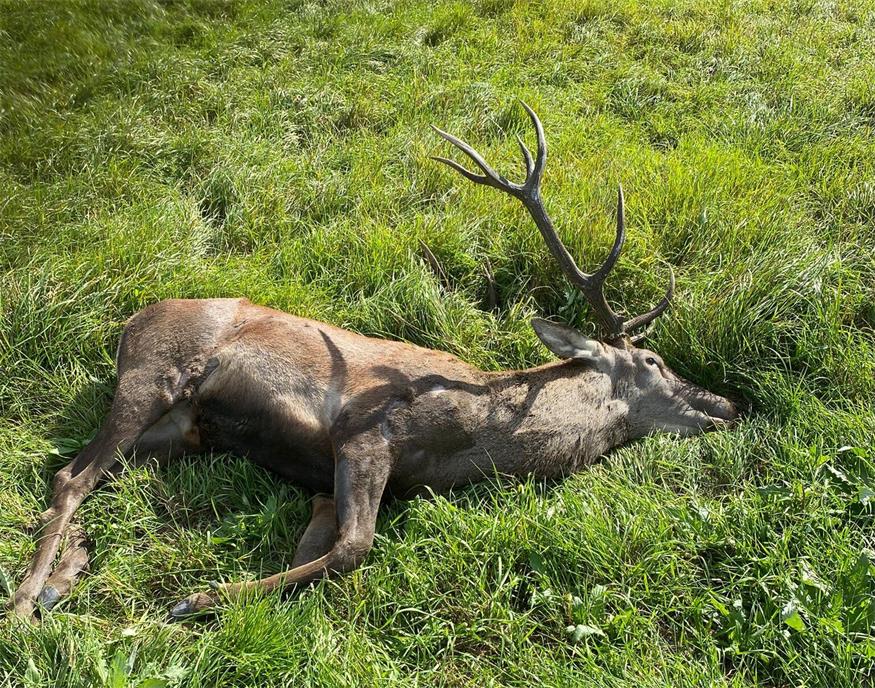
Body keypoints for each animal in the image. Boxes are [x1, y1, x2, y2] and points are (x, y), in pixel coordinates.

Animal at [7, 103, 739, 623]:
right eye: (654, 359)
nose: (726, 404)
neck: (474, 433)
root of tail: (131, 322)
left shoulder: (333, 479)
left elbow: (322, 546)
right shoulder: (364, 429)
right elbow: (356, 548)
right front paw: (198, 598)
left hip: (178, 430)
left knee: (96, 477)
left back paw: (67, 574)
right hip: (153, 375)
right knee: (70, 475)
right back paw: (24, 600)